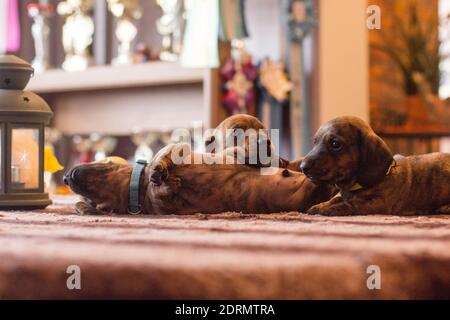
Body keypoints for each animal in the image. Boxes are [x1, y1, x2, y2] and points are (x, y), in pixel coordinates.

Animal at [63, 144, 334, 215]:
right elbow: (164, 192)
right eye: (98, 204)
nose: (65, 177)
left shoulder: (177, 149)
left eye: (102, 162)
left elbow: (163, 156)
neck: (139, 188)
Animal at [298, 116, 450, 216]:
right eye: (315, 142)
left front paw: (331, 209)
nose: (302, 167)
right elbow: (334, 199)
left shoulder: (378, 202)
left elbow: (353, 204)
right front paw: (319, 205)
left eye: (335, 144)